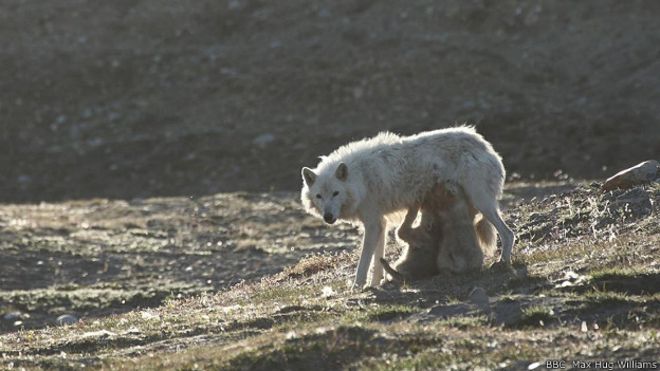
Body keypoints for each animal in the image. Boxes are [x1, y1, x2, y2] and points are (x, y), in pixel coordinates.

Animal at [300, 126, 516, 290]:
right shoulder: (379, 224)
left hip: (482, 202)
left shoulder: (373, 224)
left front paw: (357, 287)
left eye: (336, 193)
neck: (360, 178)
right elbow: (377, 259)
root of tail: (485, 146)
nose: (328, 217)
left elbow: (364, 261)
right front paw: (375, 284)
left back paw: (502, 263)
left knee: (508, 234)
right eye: (319, 196)